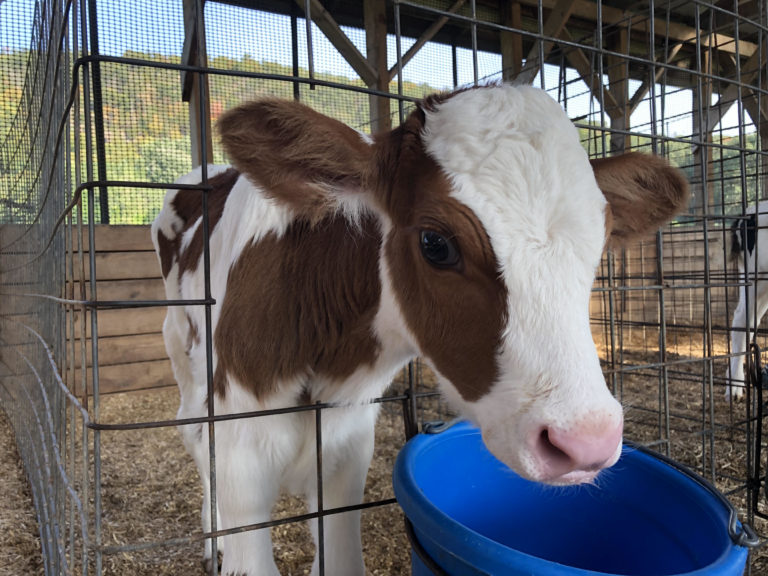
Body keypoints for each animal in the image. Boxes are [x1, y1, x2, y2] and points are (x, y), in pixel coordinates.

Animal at [152, 82, 688, 576]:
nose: (585, 439)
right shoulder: (241, 448)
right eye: (435, 243)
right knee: (191, 430)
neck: (326, 353)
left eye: (599, 244)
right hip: (181, 346)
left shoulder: (347, 446)